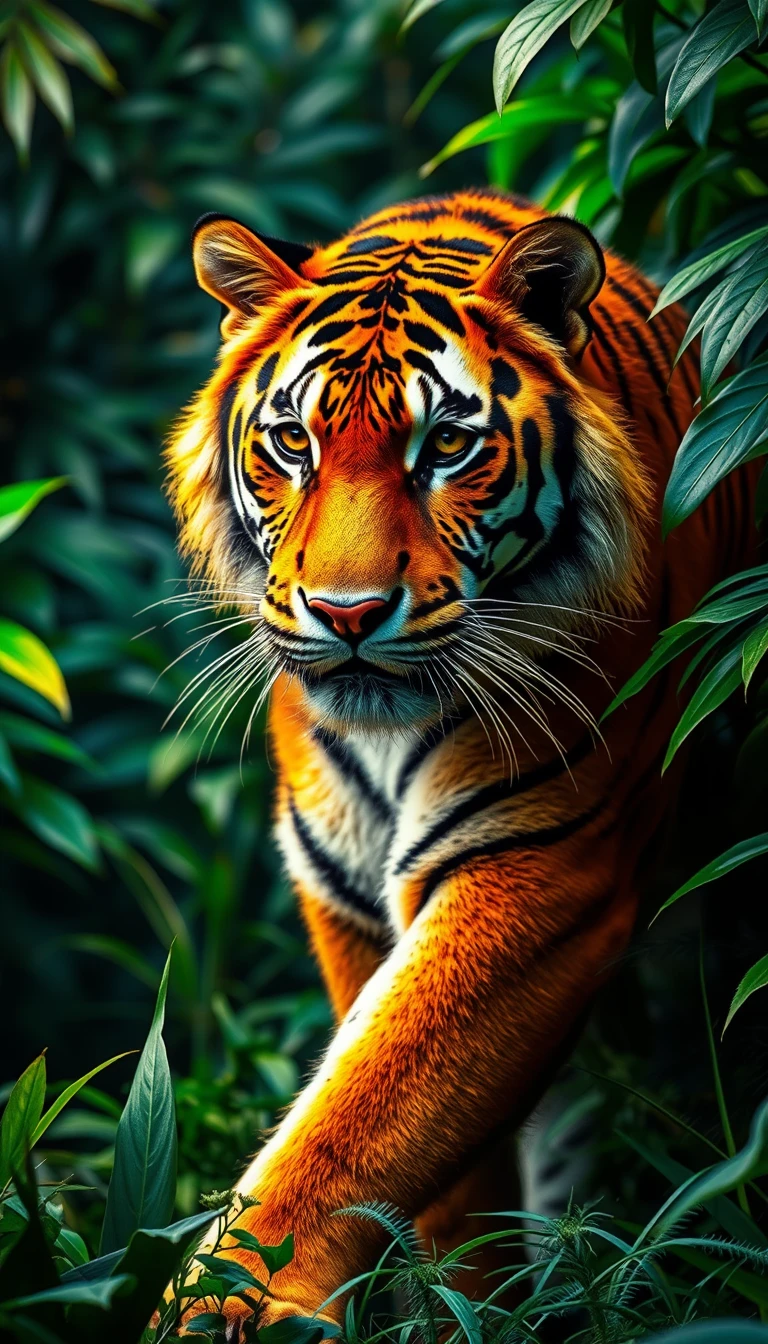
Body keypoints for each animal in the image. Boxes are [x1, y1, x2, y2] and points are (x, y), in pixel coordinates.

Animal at [165, 188, 755, 1337]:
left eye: (445, 445)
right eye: (293, 442)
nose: (346, 613)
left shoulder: (538, 865)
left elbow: (371, 1102)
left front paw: (232, 1300)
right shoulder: (342, 896)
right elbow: (422, 1142)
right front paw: (458, 1303)